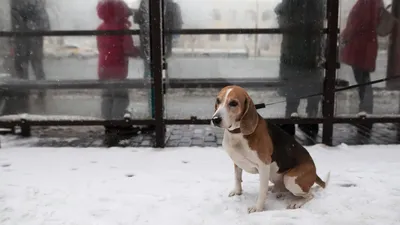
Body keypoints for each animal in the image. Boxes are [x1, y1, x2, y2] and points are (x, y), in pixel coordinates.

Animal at [211, 85, 330, 213]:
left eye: (233, 103)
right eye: (218, 101)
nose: (215, 119)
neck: (237, 133)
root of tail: (315, 173)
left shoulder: (264, 165)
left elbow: (261, 191)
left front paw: (258, 208)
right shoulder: (237, 162)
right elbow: (238, 178)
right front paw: (238, 192)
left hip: (290, 179)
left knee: (310, 194)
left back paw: (296, 202)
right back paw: (276, 190)